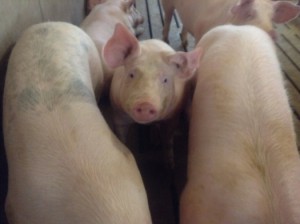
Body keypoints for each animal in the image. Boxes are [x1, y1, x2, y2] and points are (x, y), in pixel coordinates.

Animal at [162, 0, 300, 49]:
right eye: (249, 14)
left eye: (271, 17)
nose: (271, 33)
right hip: (167, 3)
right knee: (167, 20)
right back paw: (166, 41)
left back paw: (185, 43)